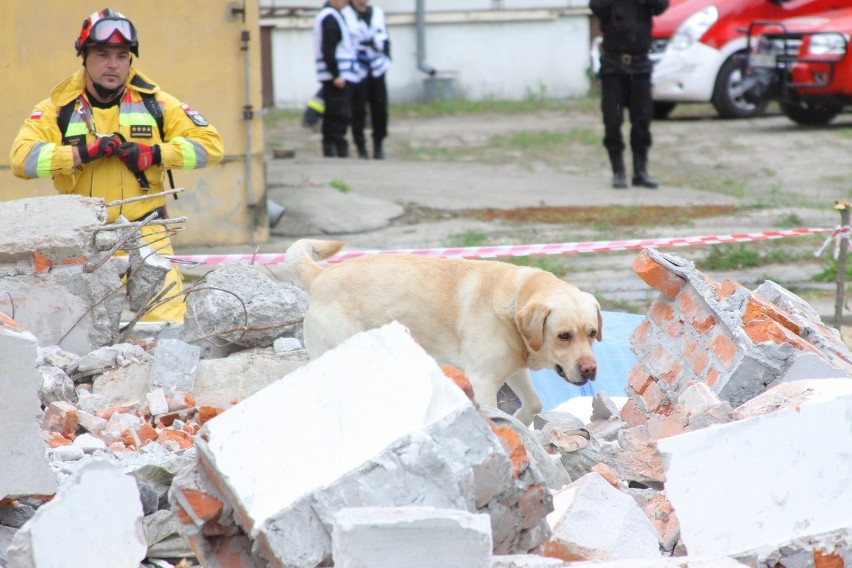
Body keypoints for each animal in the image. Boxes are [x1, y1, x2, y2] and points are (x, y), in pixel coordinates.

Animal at [282, 236, 604, 426]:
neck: (513, 303)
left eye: (591, 333)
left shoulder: (513, 368)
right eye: (564, 335)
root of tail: (320, 275)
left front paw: (519, 419)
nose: (590, 370)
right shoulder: (483, 381)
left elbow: (534, 404)